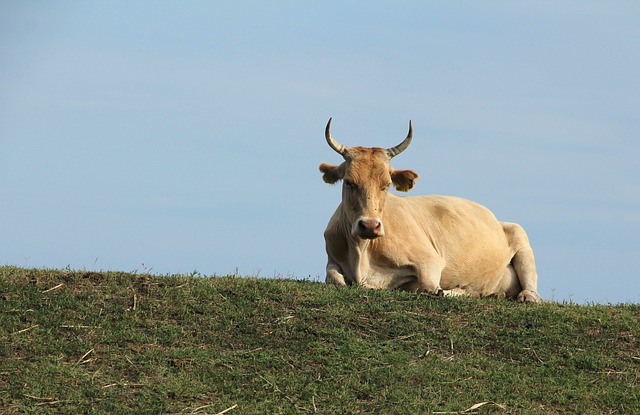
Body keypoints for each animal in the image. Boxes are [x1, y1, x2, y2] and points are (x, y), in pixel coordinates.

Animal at [320, 118, 540, 304]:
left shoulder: (430, 261)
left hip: (520, 235)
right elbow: (334, 278)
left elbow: (429, 287)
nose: (369, 225)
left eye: (387, 184)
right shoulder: (332, 260)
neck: (362, 253)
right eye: (349, 182)